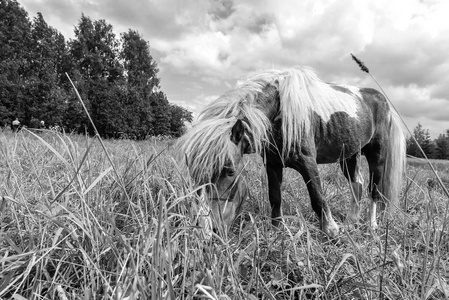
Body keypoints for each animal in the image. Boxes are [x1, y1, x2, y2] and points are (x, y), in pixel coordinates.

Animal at [176, 67, 406, 238]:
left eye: (230, 171)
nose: (209, 231)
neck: (280, 111)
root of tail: (380, 99)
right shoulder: (273, 164)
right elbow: (275, 197)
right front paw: (277, 229)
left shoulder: (307, 162)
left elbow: (317, 197)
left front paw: (331, 230)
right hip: (348, 155)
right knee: (356, 184)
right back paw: (351, 221)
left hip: (376, 154)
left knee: (373, 189)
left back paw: (371, 225)